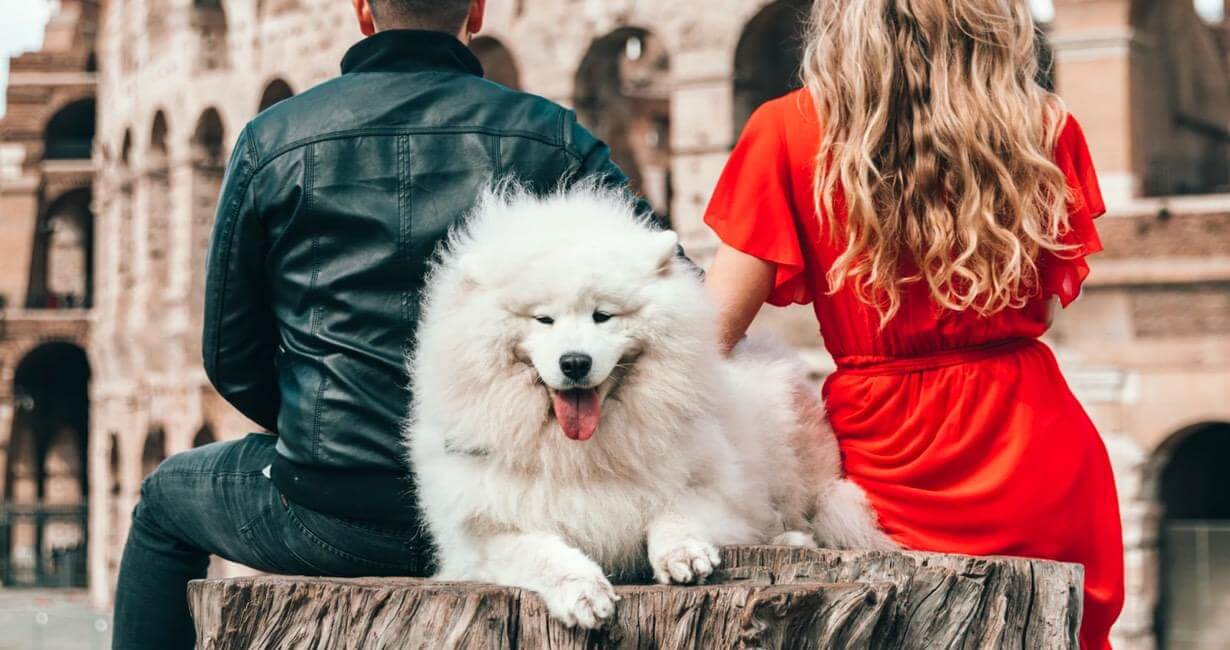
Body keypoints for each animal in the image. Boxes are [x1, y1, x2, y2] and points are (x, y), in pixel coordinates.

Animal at [408, 182, 890, 630]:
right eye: (543, 319)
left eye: (602, 315)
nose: (575, 362)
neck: (580, 454)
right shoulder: (481, 536)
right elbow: (542, 552)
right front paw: (583, 592)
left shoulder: (715, 490)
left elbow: (674, 511)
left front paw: (684, 553)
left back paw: (792, 540)